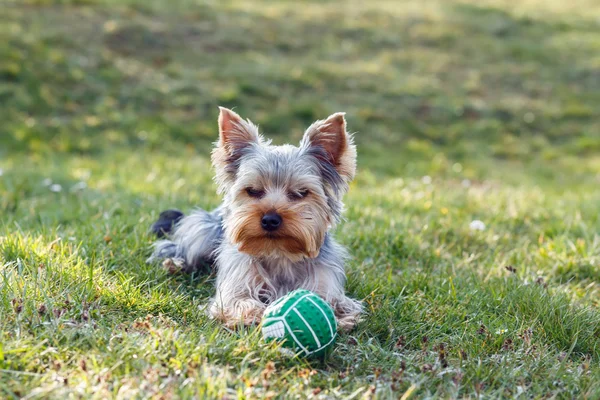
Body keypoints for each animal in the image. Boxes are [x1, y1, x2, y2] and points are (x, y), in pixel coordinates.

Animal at [149, 107, 366, 332]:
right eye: (252, 190)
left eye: (300, 193)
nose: (270, 219)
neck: (279, 252)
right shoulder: (237, 281)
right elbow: (237, 299)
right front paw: (251, 314)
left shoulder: (324, 279)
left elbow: (332, 301)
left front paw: (338, 316)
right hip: (204, 231)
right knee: (177, 247)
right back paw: (175, 263)